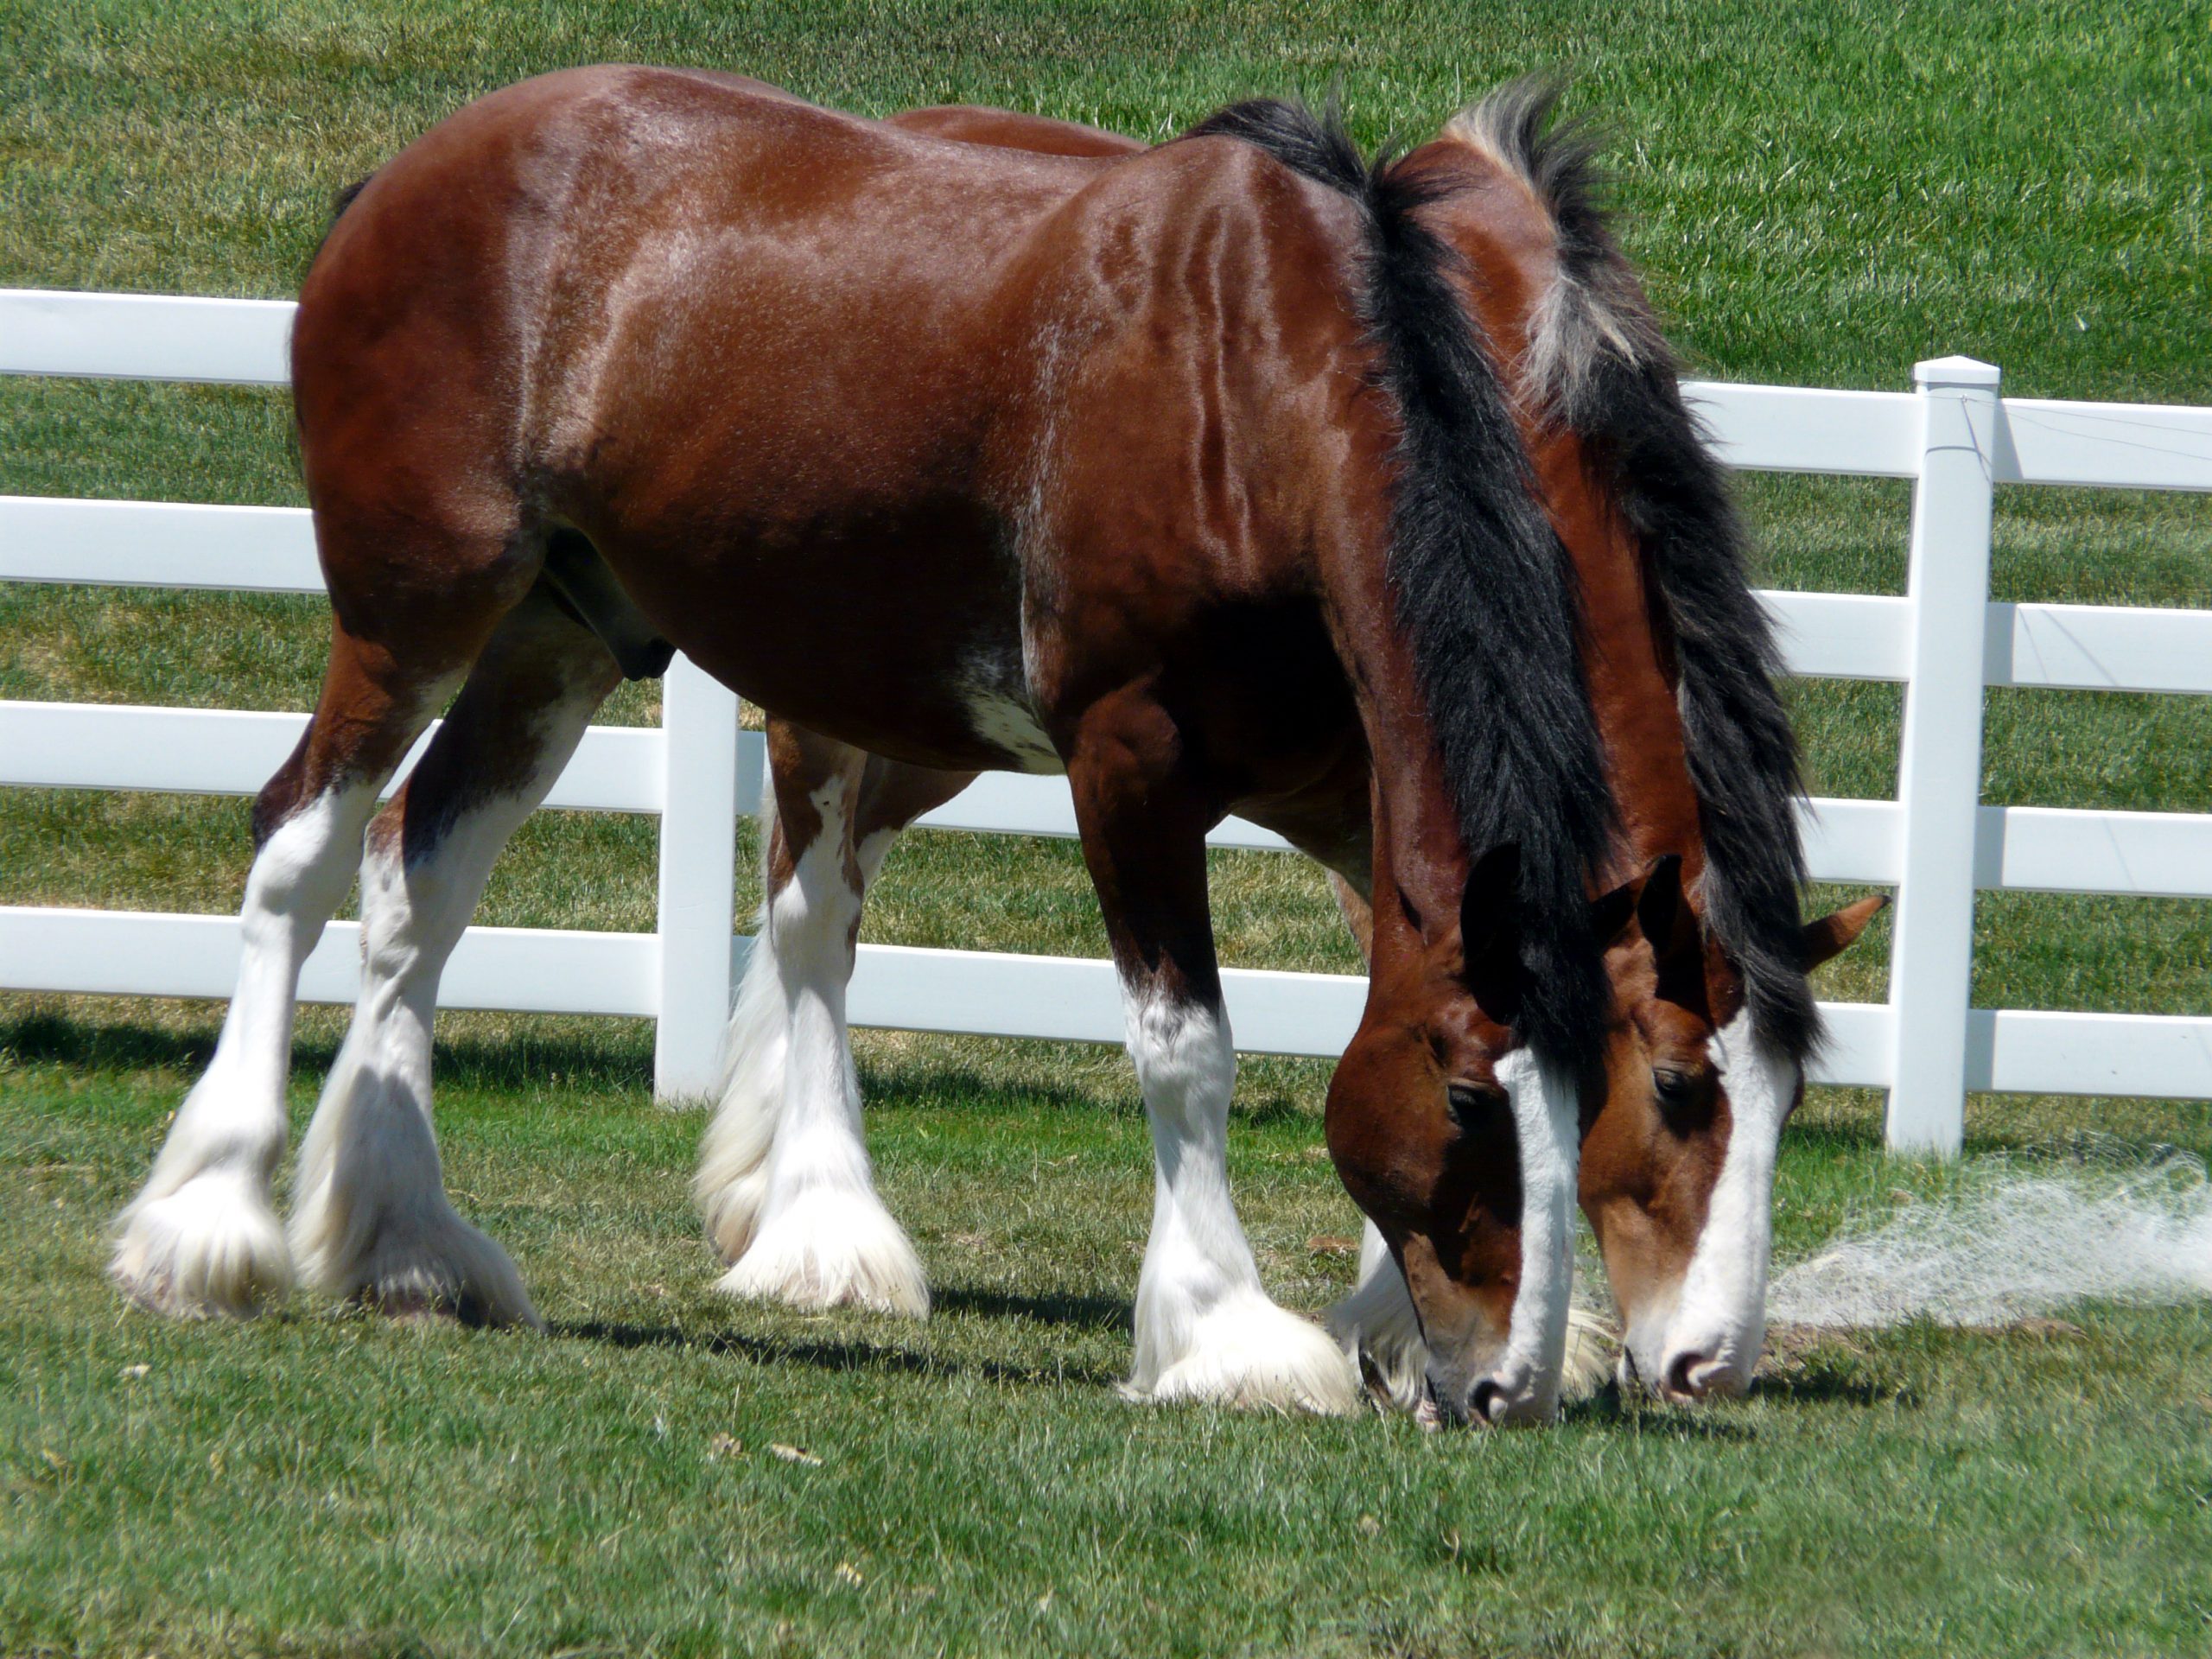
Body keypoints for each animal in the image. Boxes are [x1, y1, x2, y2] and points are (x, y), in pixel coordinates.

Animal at [712, 90, 1885, 1415]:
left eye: (1794, 1097)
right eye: (1681, 1087)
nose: (1708, 1363)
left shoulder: (1387, 781)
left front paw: (1399, 1321)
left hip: (937, 733)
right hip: (824, 697)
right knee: (811, 915)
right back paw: (817, 1230)